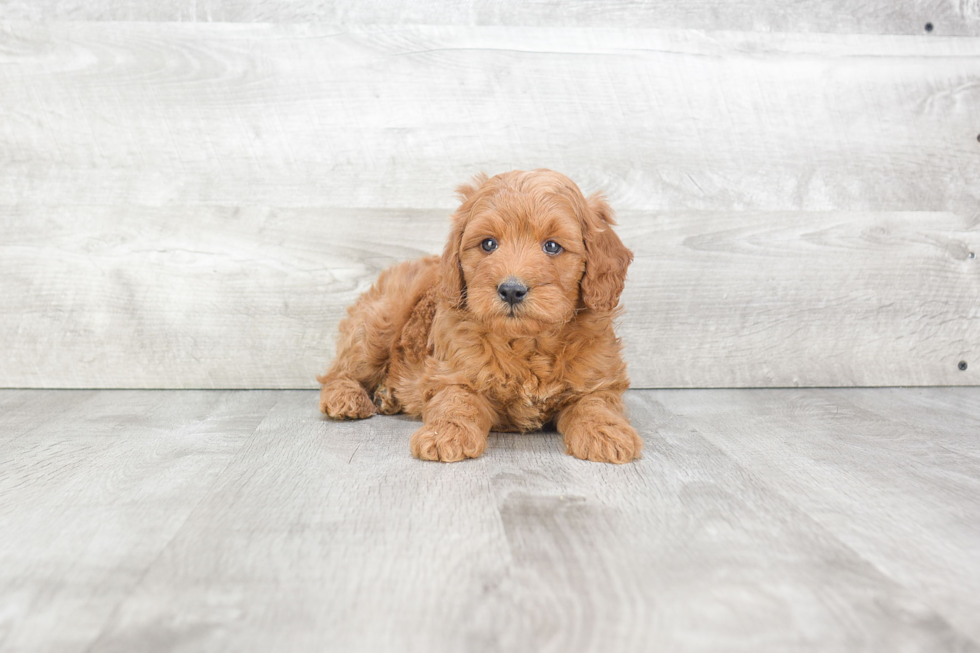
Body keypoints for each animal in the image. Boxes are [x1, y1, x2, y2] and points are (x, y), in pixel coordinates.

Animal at [316, 169, 644, 464]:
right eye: (488, 244)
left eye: (552, 246)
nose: (511, 290)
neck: (527, 344)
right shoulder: (452, 373)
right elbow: (456, 402)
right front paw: (446, 434)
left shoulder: (598, 378)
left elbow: (597, 403)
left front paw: (606, 433)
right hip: (379, 324)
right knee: (341, 370)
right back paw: (346, 398)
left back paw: (386, 395)